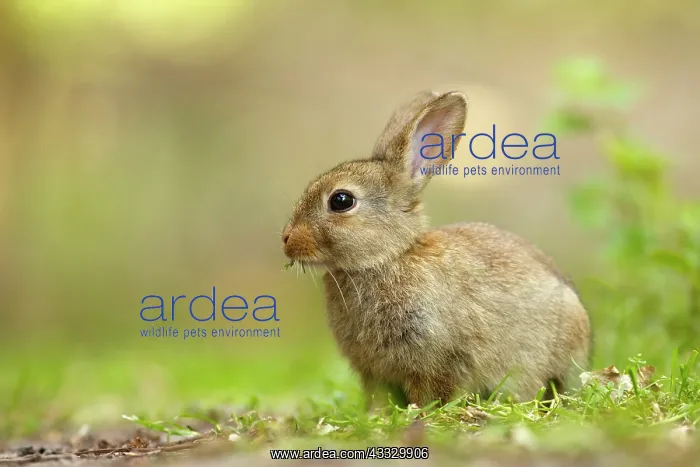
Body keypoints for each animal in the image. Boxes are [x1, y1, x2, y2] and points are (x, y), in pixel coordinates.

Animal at [281, 90, 591, 407]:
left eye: (341, 200)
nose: (287, 239)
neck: (389, 258)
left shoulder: (436, 357)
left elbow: (432, 389)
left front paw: (420, 412)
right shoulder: (373, 372)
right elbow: (379, 397)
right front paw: (378, 414)